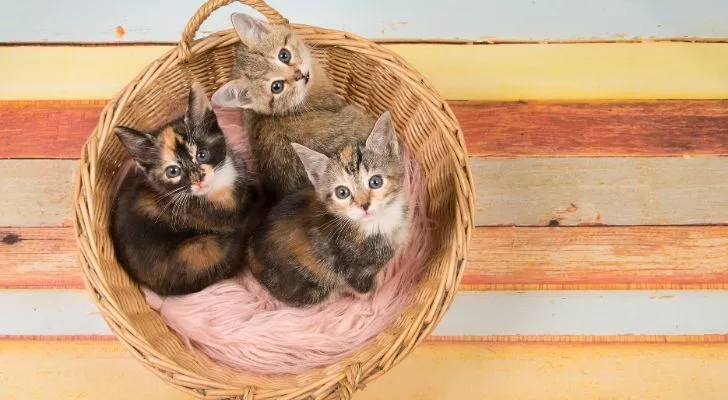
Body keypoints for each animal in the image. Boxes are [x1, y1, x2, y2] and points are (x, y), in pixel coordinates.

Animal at [247, 112, 410, 306]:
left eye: (375, 182)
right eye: (342, 192)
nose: (364, 205)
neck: (377, 224)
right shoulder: (353, 269)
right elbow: (363, 288)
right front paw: (375, 291)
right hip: (313, 288)